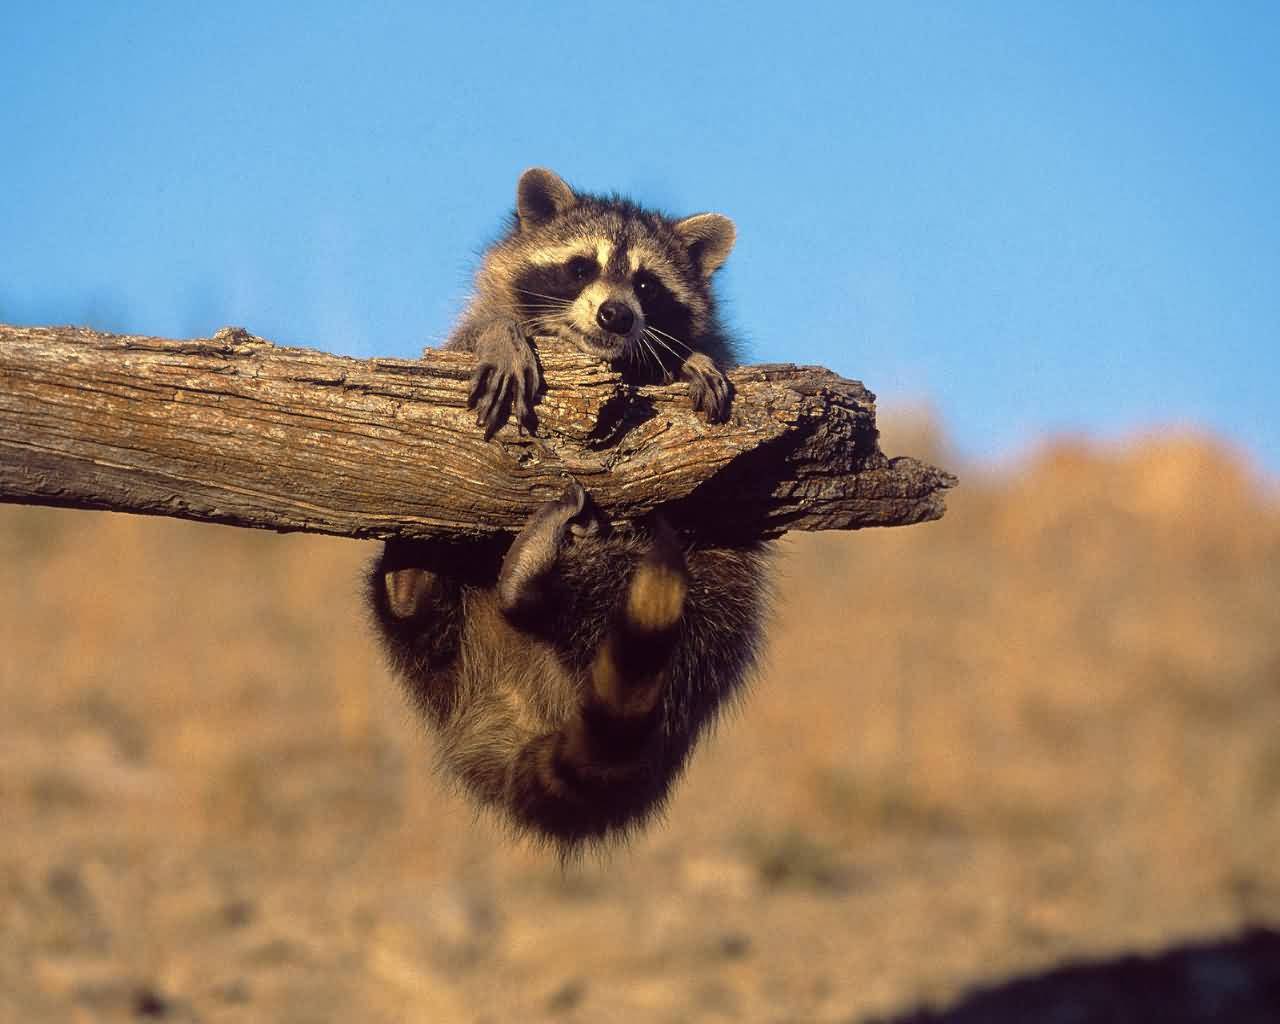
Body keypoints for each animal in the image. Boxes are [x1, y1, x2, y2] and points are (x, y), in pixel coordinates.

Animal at [369, 169, 769, 849]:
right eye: (582, 267)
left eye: (647, 284)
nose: (616, 314)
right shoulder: (459, 340)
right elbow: (477, 336)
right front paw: (505, 337)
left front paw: (689, 360)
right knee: (416, 620)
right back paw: (412, 580)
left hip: (711, 608)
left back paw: (531, 584)